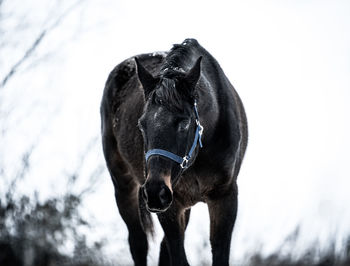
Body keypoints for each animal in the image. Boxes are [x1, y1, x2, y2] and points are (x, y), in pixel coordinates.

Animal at [100, 38, 249, 266]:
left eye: (184, 122)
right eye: (141, 124)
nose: (154, 191)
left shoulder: (225, 197)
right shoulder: (171, 206)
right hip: (124, 186)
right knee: (138, 243)